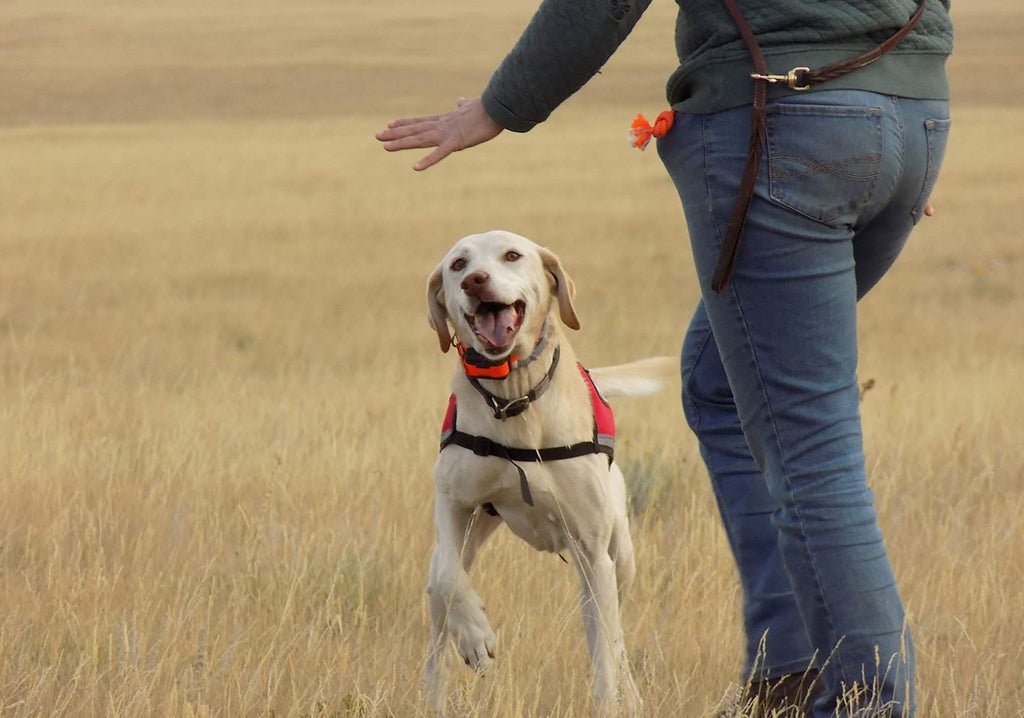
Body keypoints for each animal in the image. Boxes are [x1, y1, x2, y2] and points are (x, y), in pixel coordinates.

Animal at [417, 231, 667, 716]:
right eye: (458, 265)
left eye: (512, 255)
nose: (475, 281)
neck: (513, 397)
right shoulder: (453, 502)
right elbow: (448, 579)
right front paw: (475, 636)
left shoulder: (593, 552)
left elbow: (605, 656)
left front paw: (610, 702)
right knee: (439, 603)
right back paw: (432, 694)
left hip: (618, 556)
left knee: (616, 639)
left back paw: (631, 696)